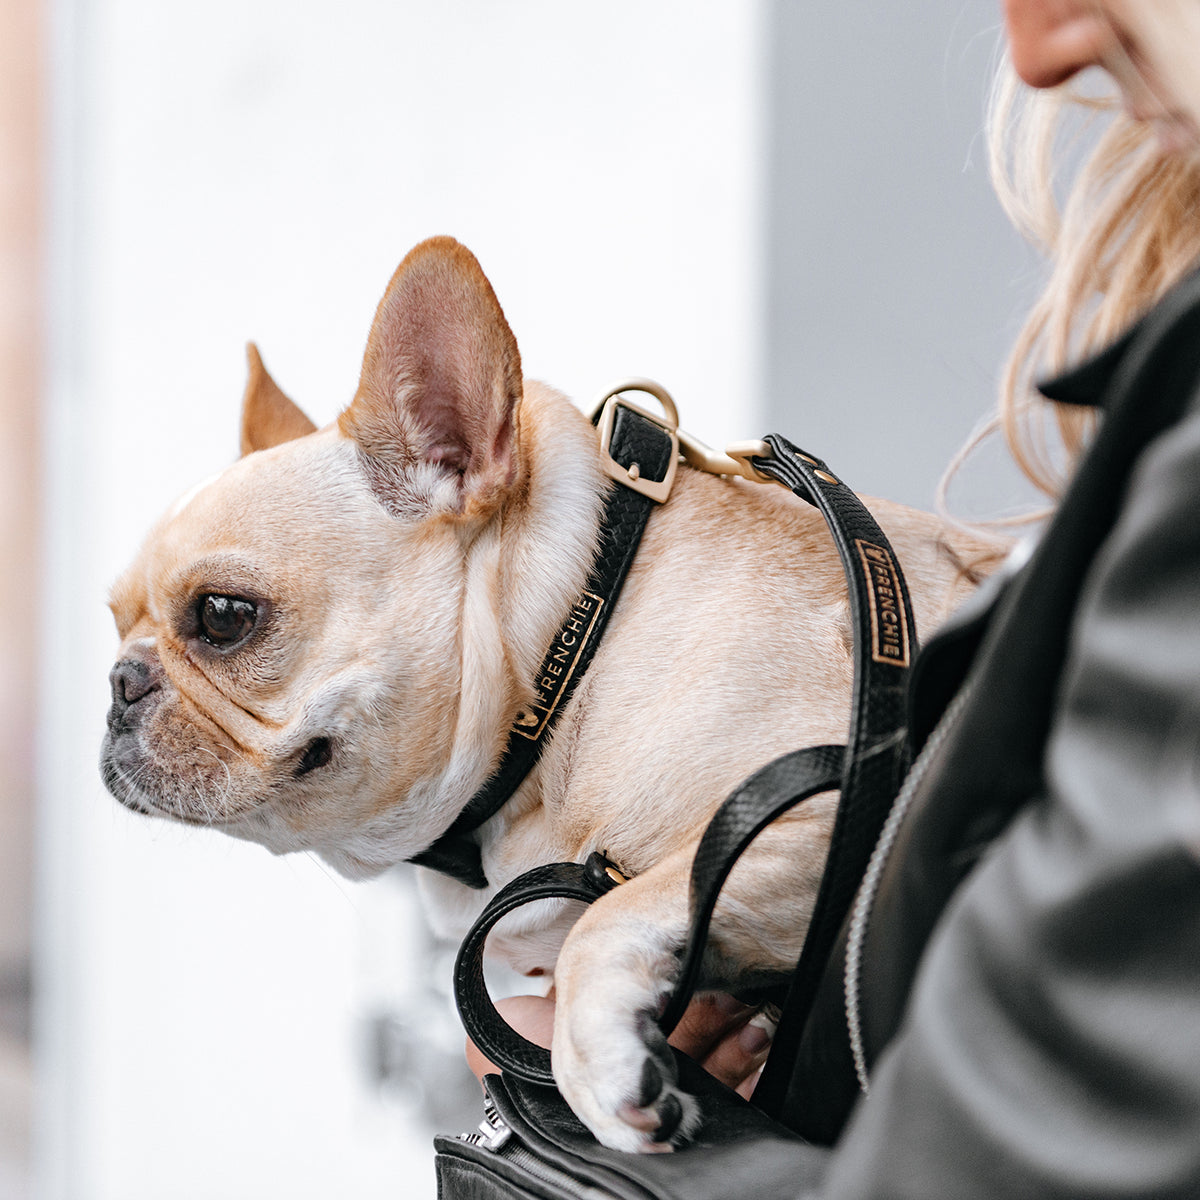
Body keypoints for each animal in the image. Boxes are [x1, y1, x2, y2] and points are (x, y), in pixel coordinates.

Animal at [100, 236, 993, 1152]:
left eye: (224, 616)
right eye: (112, 620)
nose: (121, 681)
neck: (571, 660)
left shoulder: (834, 799)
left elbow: (614, 913)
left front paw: (598, 1057)